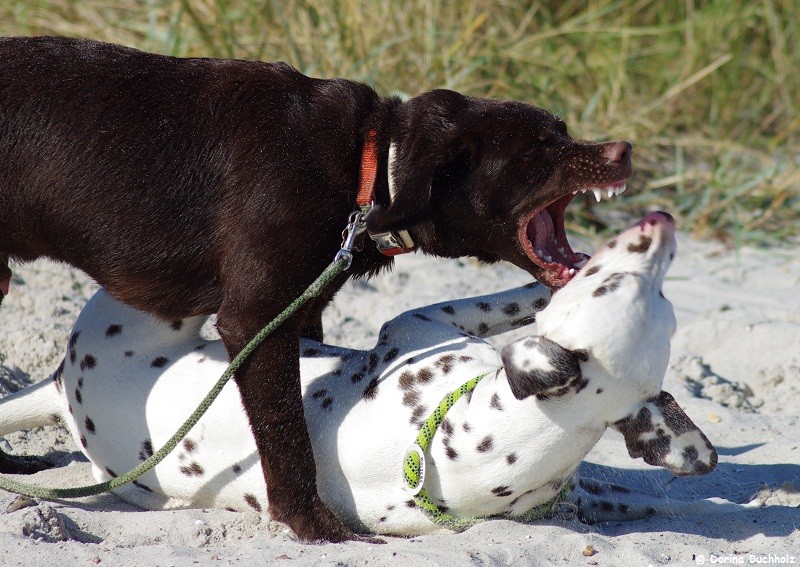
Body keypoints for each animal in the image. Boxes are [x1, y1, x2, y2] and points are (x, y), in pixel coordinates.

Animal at [0, 35, 636, 540]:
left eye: (562, 131)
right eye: (539, 150)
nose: (624, 148)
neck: (370, 163)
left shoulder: (302, 309)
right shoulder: (255, 320)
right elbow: (287, 442)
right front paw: (315, 528)